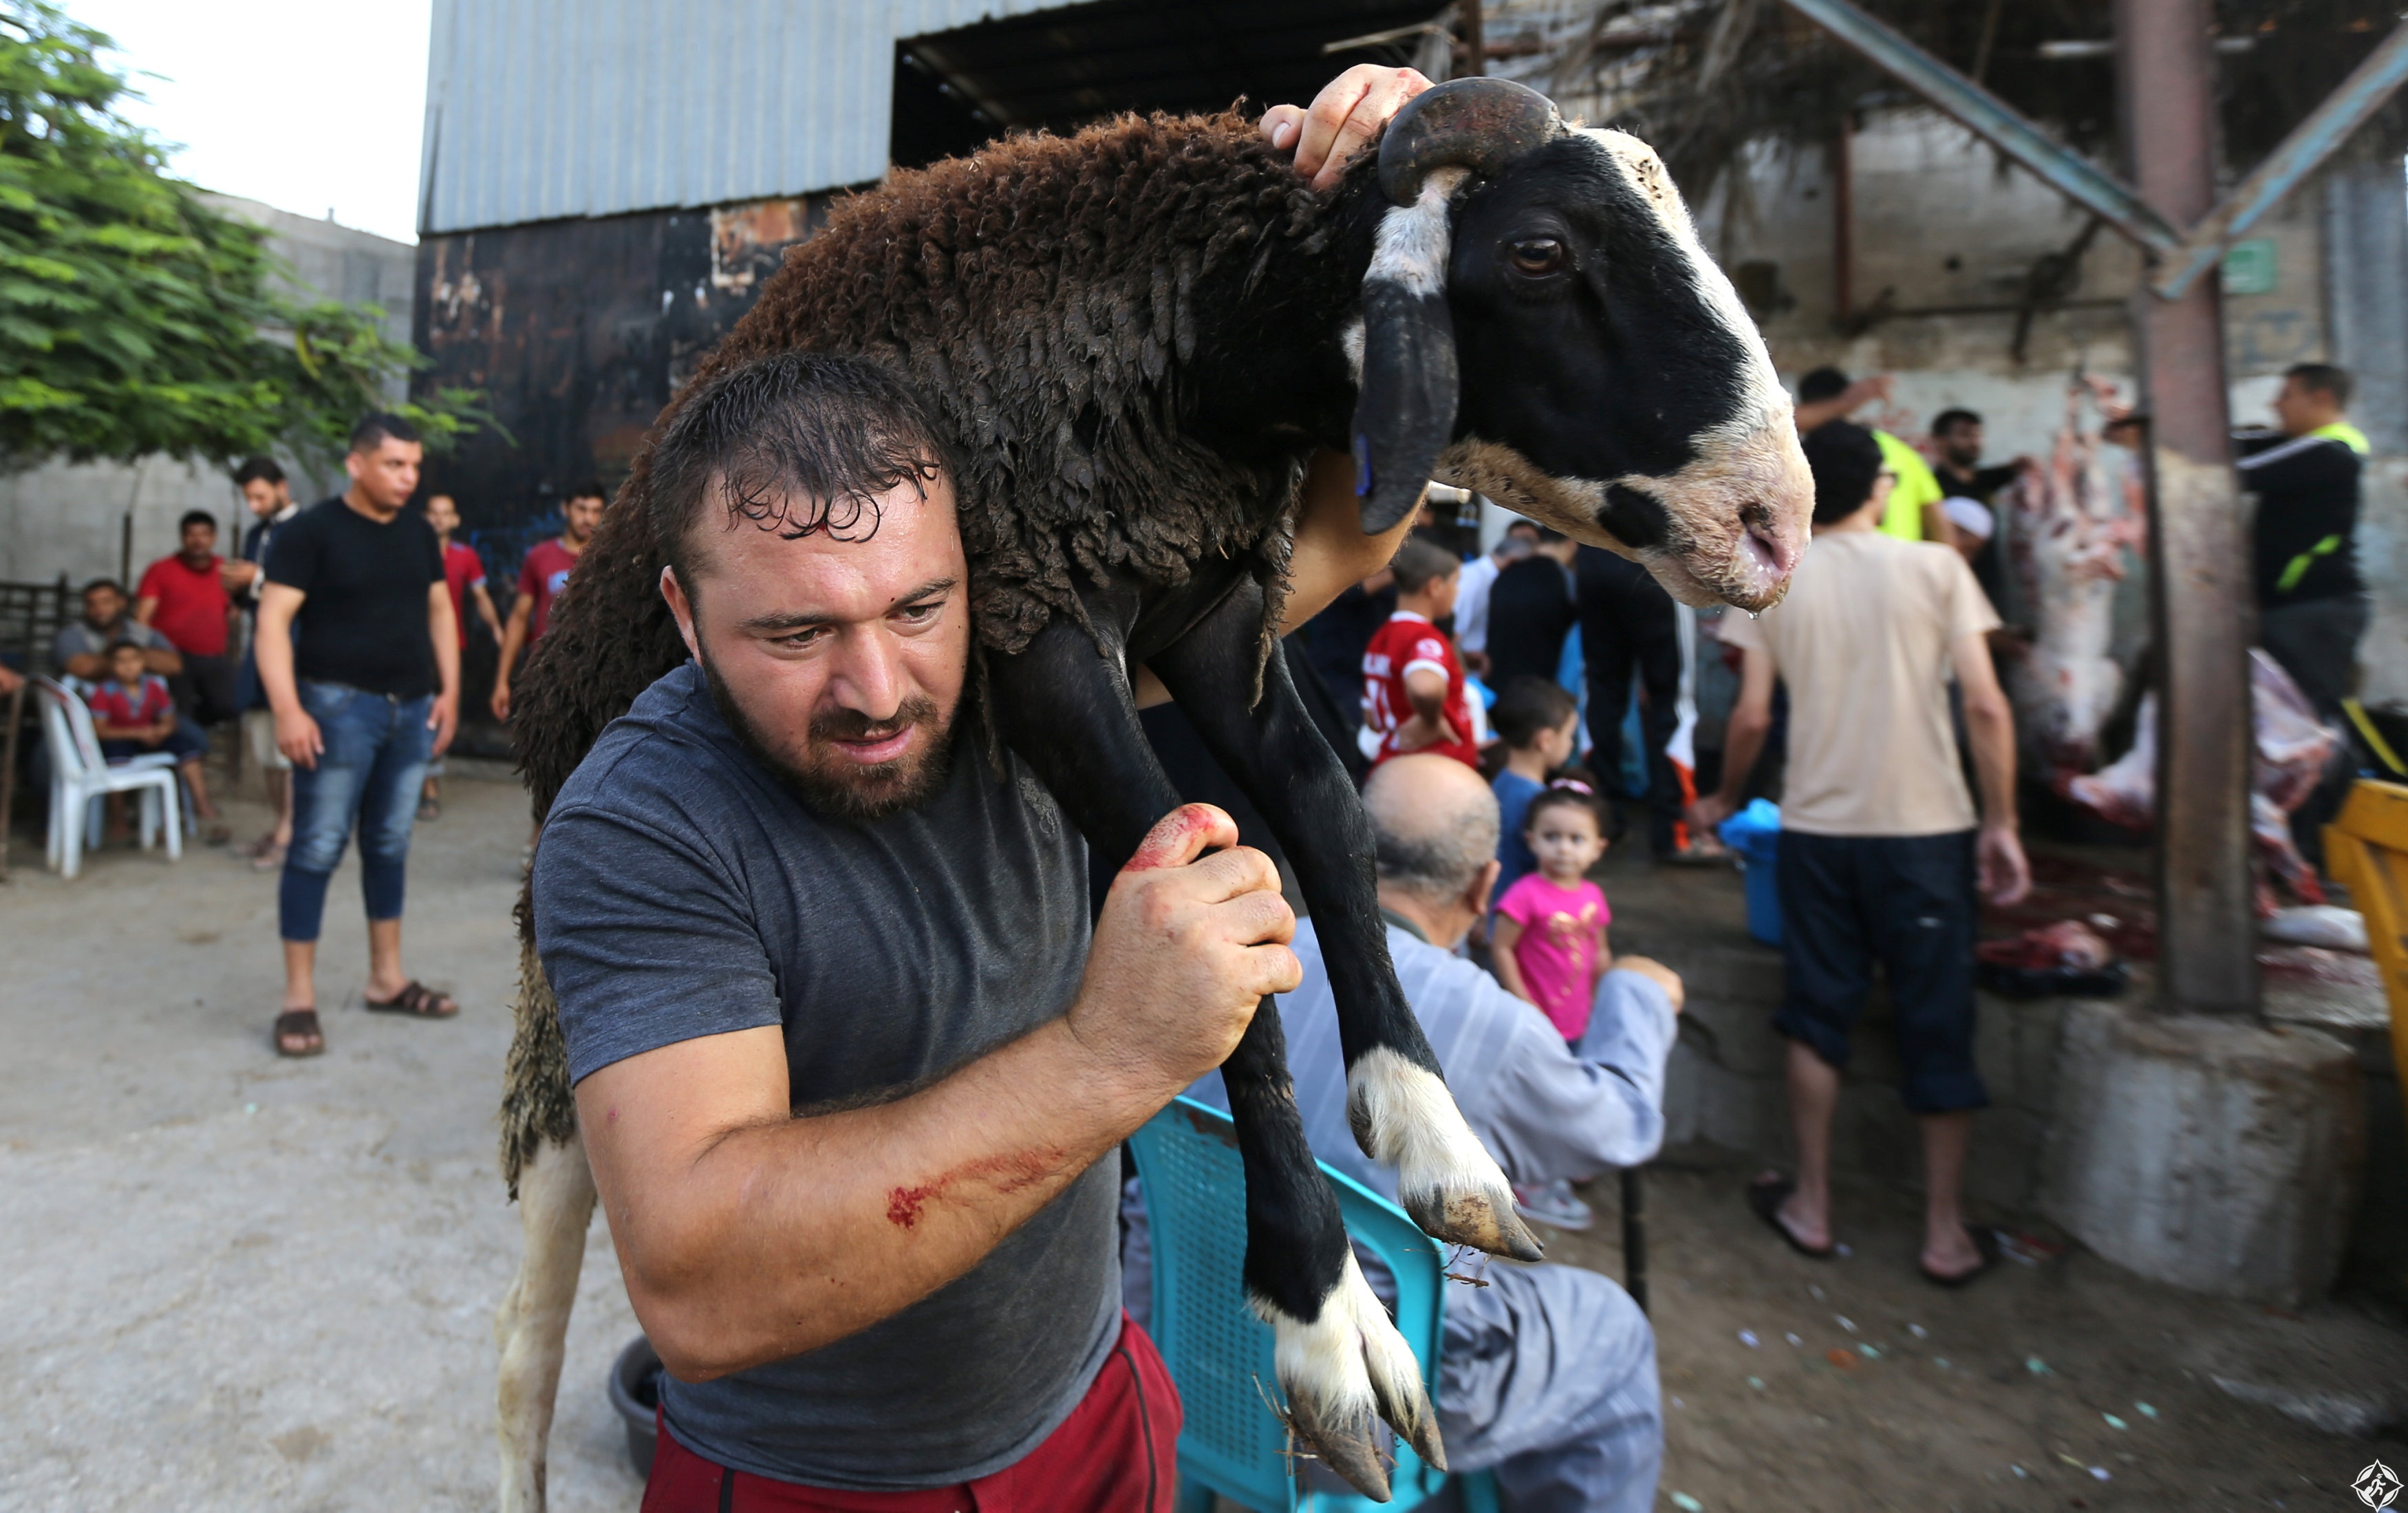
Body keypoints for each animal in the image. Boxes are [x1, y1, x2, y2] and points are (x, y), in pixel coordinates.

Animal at [494, 77, 1810, 1508]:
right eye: (1539, 252)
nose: (1781, 520)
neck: (1193, 333)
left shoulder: (1212, 600)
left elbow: (1324, 817)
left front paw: (1434, 1135)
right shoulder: (1037, 623)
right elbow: (1207, 896)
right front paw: (1327, 1320)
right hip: (558, 1018)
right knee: (527, 1337)